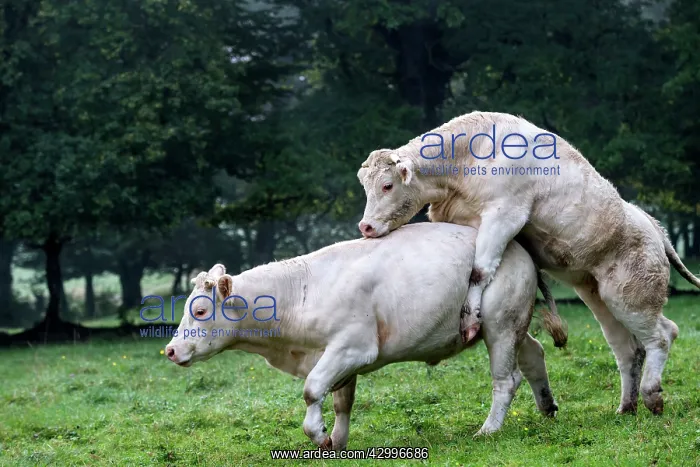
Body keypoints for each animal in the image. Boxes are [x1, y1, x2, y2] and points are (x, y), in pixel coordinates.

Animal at [165, 222, 567, 449]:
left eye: (199, 311)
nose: (170, 350)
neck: (302, 292)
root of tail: (518, 248)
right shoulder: (340, 359)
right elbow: (342, 402)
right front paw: (337, 440)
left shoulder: (352, 348)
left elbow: (312, 389)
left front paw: (317, 433)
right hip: (511, 328)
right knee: (533, 356)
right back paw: (547, 407)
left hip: (500, 327)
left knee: (506, 380)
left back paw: (488, 430)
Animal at [357, 111, 699, 416]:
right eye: (366, 186)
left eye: (387, 185)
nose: (366, 226)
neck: (468, 159)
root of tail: (652, 225)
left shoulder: (504, 215)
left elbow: (479, 270)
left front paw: (471, 319)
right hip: (599, 296)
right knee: (627, 349)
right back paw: (626, 407)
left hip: (631, 296)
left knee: (663, 334)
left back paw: (652, 395)